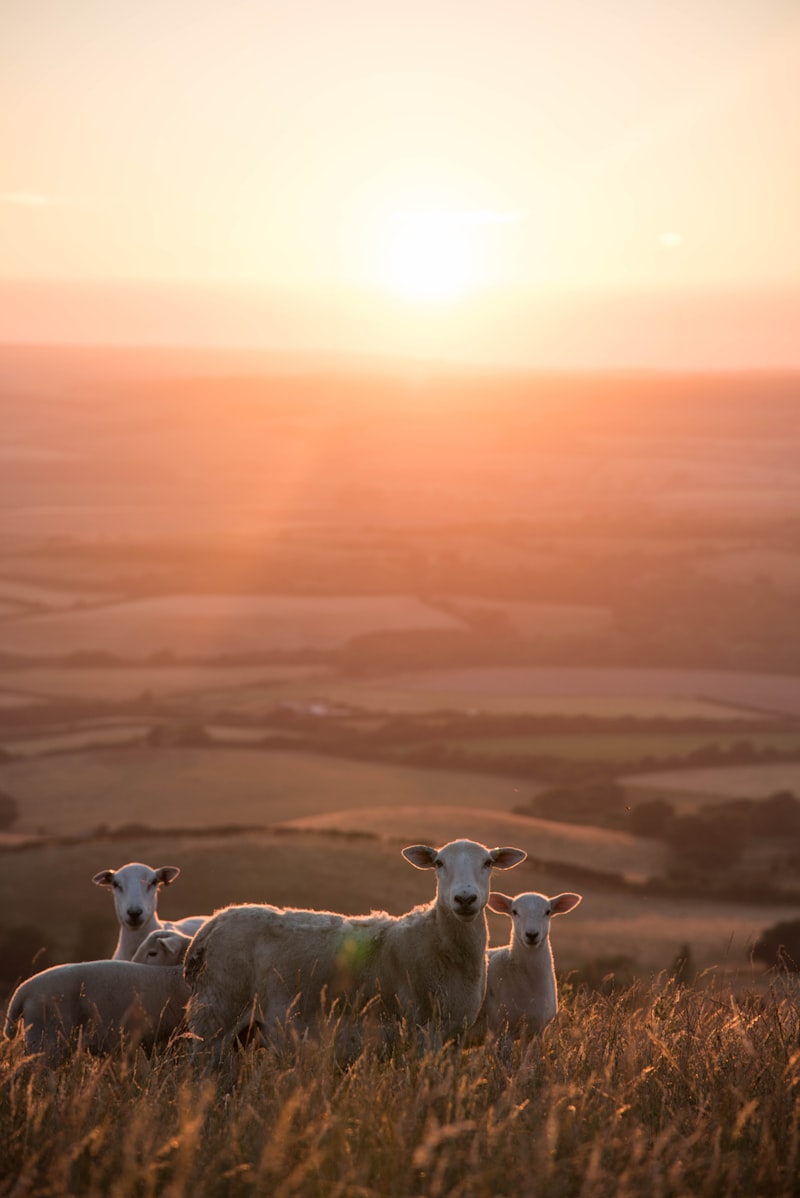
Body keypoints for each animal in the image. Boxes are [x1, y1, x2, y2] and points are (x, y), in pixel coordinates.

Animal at [184, 833, 526, 1059]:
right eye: (439, 863)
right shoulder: (417, 1032)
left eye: (488, 862)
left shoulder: (452, 1038)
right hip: (215, 1015)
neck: (440, 943)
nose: (465, 898)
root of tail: (213, 922)